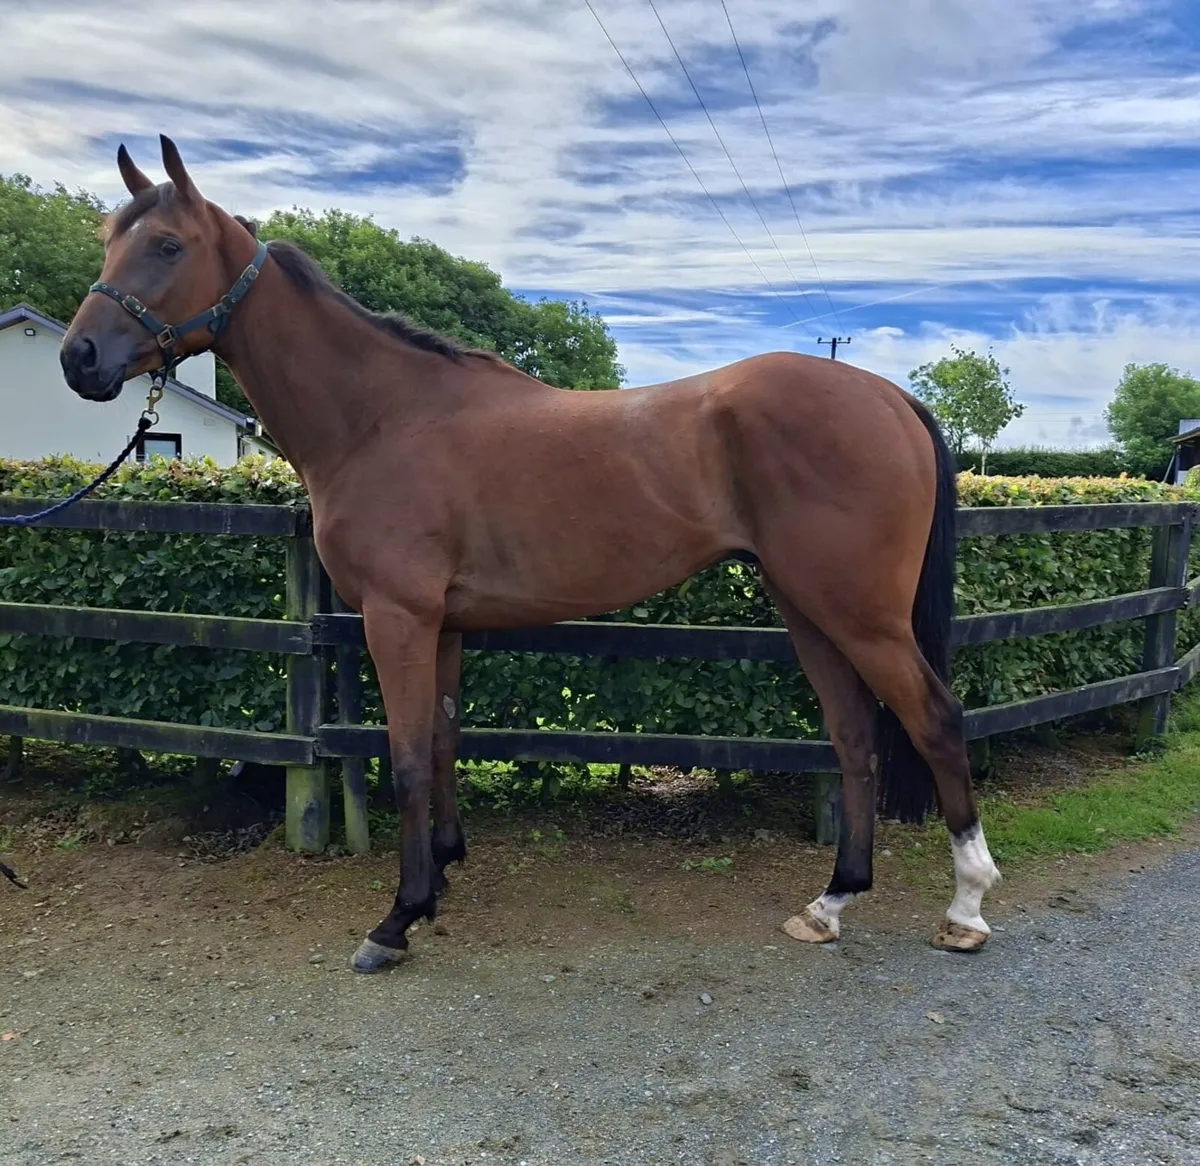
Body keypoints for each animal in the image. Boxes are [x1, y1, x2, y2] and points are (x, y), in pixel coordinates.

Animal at [59, 136, 1000, 972]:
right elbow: (442, 743)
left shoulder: (398, 619)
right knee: (853, 735)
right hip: (810, 609)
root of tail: (888, 397)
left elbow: (407, 759)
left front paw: (395, 920)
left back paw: (965, 909)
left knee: (936, 720)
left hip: (861, 614)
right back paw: (832, 902)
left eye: (168, 244)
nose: (79, 357)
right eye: (109, 239)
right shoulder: (441, 626)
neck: (382, 417)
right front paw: (439, 875)